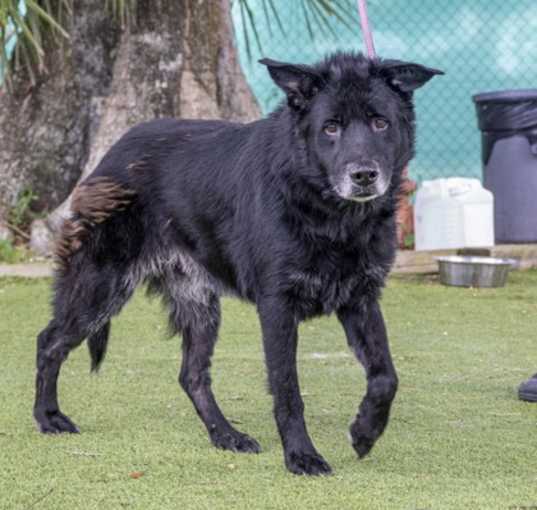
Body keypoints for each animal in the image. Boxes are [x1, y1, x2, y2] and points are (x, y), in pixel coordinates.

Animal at [34, 51, 444, 474]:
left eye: (381, 122)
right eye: (331, 128)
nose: (364, 175)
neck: (330, 215)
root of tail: (114, 151)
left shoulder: (361, 298)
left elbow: (386, 376)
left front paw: (365, 431)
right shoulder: (277, 306)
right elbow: (287, 388)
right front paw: (301, 455)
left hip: (199, 305)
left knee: (192, 375)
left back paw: (226, 435)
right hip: (100, 287)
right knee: (48, 341)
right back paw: (48, 417)